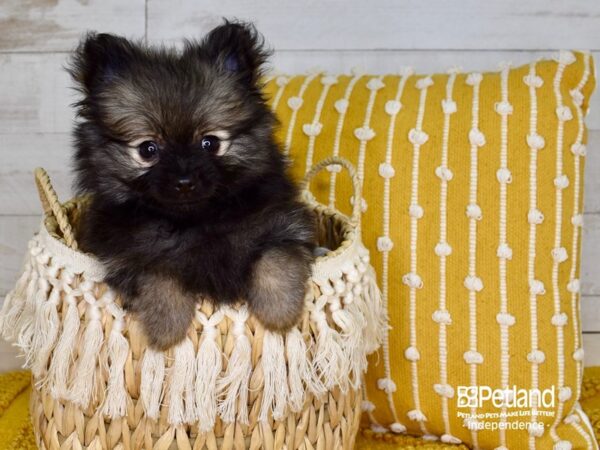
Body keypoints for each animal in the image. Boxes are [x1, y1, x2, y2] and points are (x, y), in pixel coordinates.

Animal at [68, 21, 316, 350]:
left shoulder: (285, 226)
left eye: (210, 143)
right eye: (148, 149)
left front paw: (280, 311)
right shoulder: (128, 257)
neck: (195, 222)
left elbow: (275, 257)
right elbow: (157, 273)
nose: (184, 181)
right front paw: (166, 325)